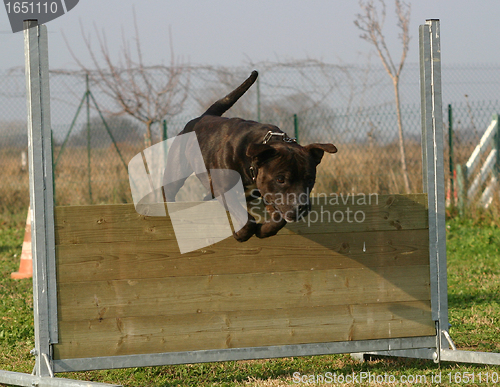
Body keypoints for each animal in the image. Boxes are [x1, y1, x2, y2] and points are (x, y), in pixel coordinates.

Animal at [164, 71, 336, 241]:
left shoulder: (269, 194)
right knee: (169, 191)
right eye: (280, 179)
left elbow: (278, 219)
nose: (301, 206)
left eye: (310, 179)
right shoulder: (224, 189)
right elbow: (247, 220)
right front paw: (241, 233)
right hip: (176, 172)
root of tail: (203, 117)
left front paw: (264, 230)